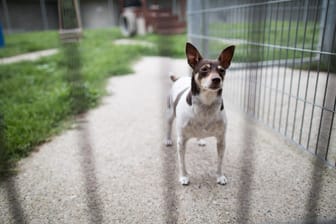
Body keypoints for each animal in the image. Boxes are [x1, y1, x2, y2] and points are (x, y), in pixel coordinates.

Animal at [165, 42, 234, 186]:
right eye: (204, 69)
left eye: (222, 70)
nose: (216, 79)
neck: (206, 105)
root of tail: (179, 78)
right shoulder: (181, 141)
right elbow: (182, 163)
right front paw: (184, 177)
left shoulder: (221, 140)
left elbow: (220, 162)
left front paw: (220, 176)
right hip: (169, 113)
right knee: (168, 125)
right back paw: (168, 140)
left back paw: (201, 140)